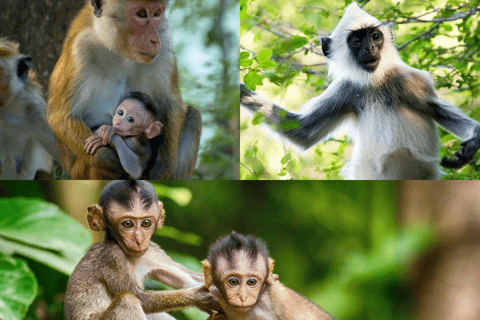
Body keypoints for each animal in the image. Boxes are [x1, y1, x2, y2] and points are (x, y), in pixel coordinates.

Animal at [64, 181, 218, 318]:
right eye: (127, 224)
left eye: (146, 223)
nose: (139, 240)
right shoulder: (112, 256)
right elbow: (141, 298)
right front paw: (199, 296)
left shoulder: (152, 251)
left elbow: (191, 279)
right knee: (127, 298)